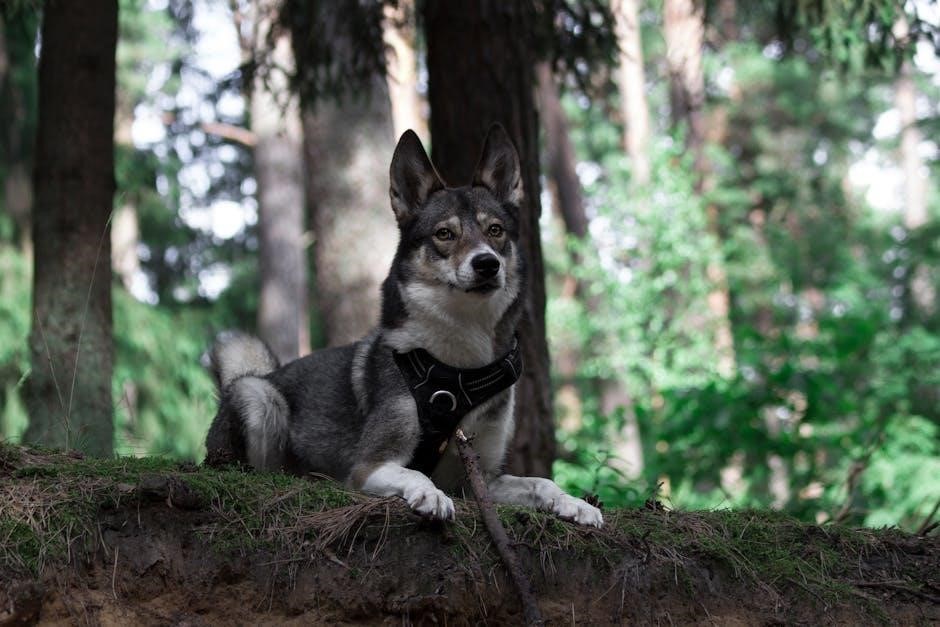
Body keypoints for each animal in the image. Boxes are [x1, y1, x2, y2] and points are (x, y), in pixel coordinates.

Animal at [205, 124, 602, 527]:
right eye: (444, 234)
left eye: (495, 230)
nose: (487, 264)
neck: (459, 371)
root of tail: (254, 375)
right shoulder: (370, 465)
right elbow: (414, 473)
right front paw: (430, 494)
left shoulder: (481, 478)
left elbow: (540, 482)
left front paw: (574, 502)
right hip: (258, 396)